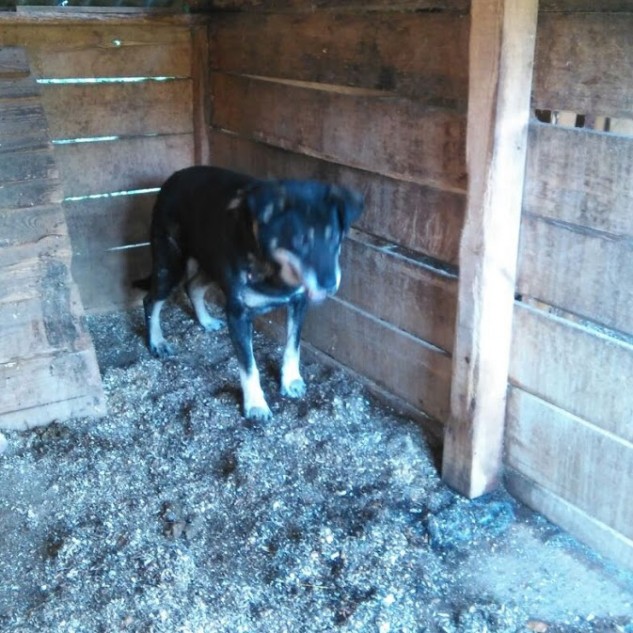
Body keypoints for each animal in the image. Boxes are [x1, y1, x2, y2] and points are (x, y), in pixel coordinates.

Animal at [136, 166, 363, 421]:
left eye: (335, 237)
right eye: (299, 240)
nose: (330, 284)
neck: (273, 267)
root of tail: (172, 178)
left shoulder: (298, 302)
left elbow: (292, 347)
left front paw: (291, 381)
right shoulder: (238, 314)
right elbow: (249, 366)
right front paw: (255, 405)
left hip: (211, 264)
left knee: (192, 286)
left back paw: (205, 321)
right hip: (170, 264)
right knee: (151, 300)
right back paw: (157, 341)